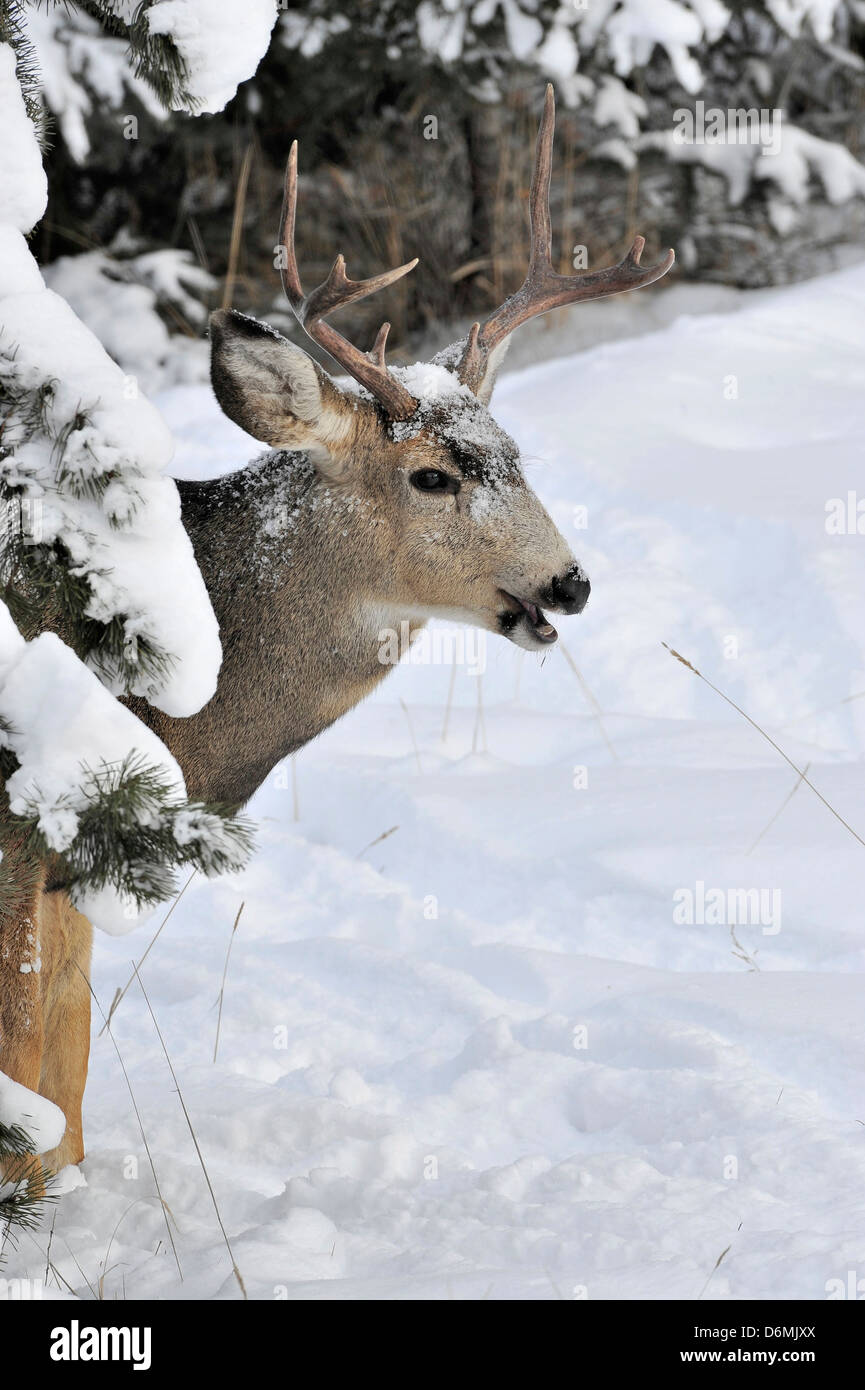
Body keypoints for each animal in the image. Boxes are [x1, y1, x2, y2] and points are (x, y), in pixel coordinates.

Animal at [0, 85, 673, 1180]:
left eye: (515, 456)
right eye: (432, 475)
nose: (568, 584)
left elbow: (64, 1073)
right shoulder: (28, 829)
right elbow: (34, 1067)